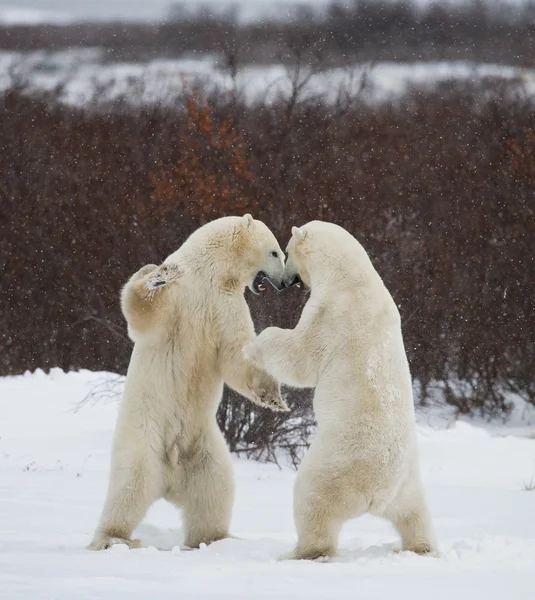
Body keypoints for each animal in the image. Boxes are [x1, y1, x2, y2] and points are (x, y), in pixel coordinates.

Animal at [89, 213, 288, 552]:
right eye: (275, 252)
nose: (286, 282)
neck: (210, 272)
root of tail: (170, 475)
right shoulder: (184, 297)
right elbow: (144, 313)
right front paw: (157, 275)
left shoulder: (226, 303)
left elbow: (236, 354)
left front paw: (274, 398)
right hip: (144, 436)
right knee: (131, 485)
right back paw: (114, 539)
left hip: (204, 448)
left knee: (215, 489)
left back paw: (217, 538)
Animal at [245, 221, 438, 564]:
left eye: (286, 252)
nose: (283, 283)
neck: (350, 274)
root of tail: (378, 493)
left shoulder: (331, 312)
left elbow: (301, 357)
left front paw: (255, 344)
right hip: (407, 481)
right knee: (414, 512)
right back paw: (421, 547)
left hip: (337, 464)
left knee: (313, 500)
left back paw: (300, 553)